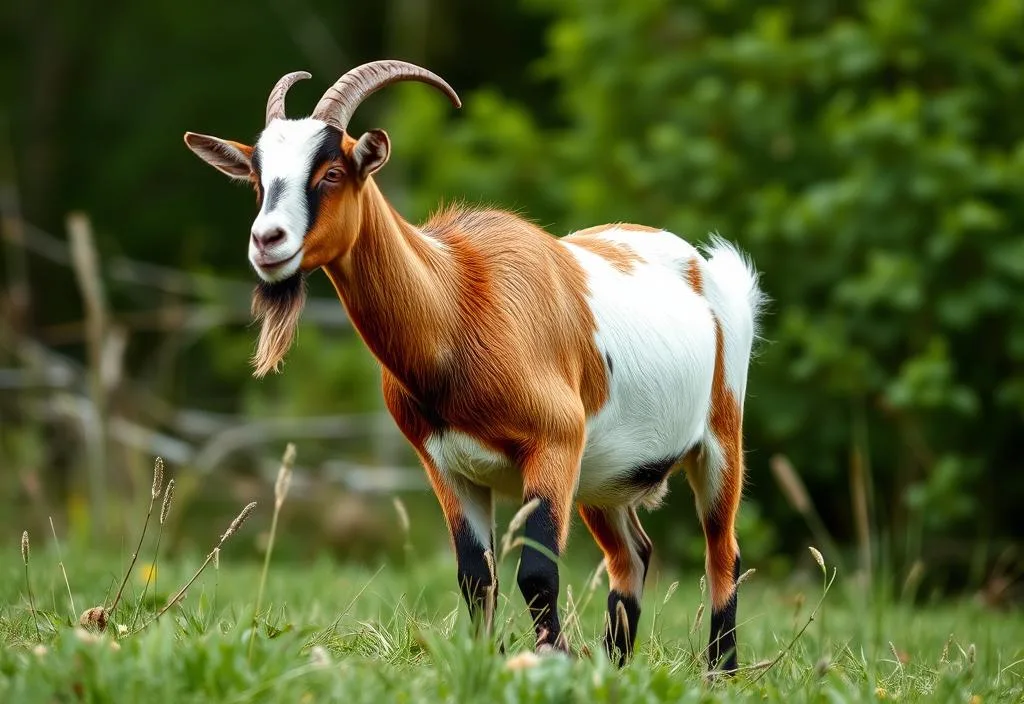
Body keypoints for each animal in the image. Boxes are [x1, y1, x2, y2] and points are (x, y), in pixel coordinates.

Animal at [184, 60, 765, 671]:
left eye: (332, 170)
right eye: (257, 178)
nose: (267, 241)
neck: (460, 302)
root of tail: (707, 269)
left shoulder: (554, 446)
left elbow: (536, 573)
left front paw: (549, 660)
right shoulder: (447, 467)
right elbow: (475, 577)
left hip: (719, 439)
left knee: (722, 551)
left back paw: (720, 670)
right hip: (605, 476)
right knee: (632, 555)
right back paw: (616, 665)